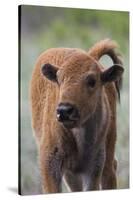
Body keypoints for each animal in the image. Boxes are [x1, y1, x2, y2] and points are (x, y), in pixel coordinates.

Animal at [29, 38, 123, 193]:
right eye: (59, 79)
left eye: (92, 81)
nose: (64, 110)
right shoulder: (51, 166)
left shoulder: (93, 167)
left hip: (109, 146)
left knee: (110, 170)